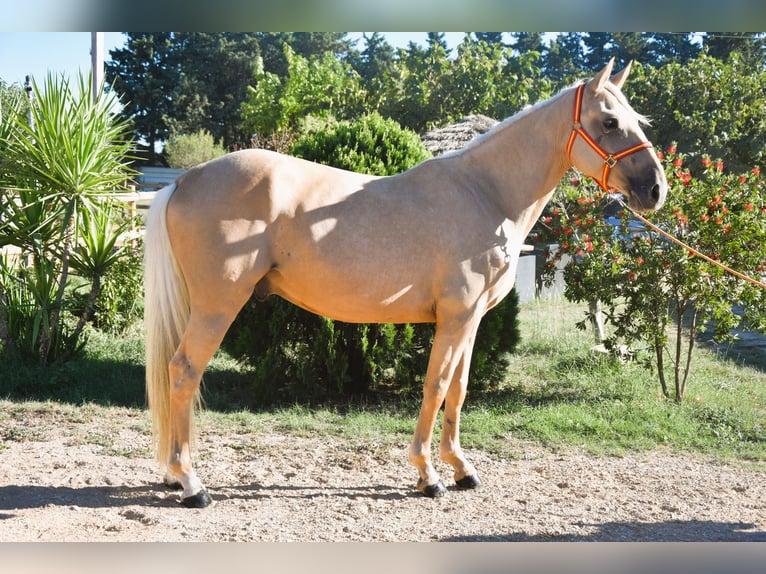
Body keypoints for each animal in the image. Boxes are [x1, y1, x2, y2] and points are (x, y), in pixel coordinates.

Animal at [143, 59, 667, 508]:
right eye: (609, 122)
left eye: (636, 118)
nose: (655, 189)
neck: (485, 193)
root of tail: (184, 181)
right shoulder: (454, 317)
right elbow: (435, 386)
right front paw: (428, 475)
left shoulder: (471, 321)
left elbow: (459, 389)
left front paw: (462, 469)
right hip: (218, 305)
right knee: (184, 371)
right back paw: (191, 484)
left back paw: (173, 475)